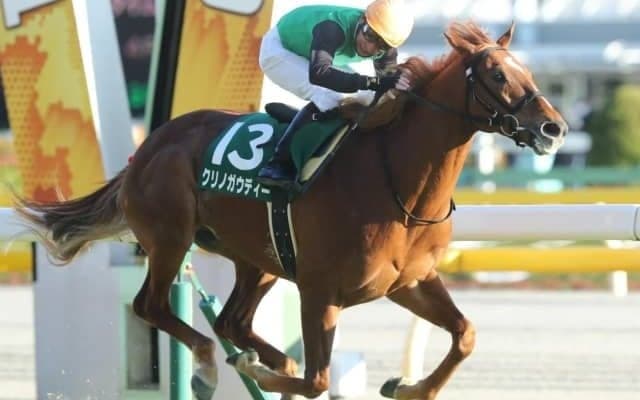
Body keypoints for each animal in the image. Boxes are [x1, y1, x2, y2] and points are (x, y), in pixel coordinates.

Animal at [14, 21, 567, 400]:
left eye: (529, 71)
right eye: (497, 73)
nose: (553, 128)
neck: (400, 185)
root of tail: (147, 148)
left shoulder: (409, 282)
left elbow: (464, 334)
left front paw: (406, 387)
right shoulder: (320, 291)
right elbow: (318, 378)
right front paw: (256, 370)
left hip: (258, 258)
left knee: (232, 322)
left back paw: (260, 357)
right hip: (171, 237)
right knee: (153, 308)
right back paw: (210, 367)